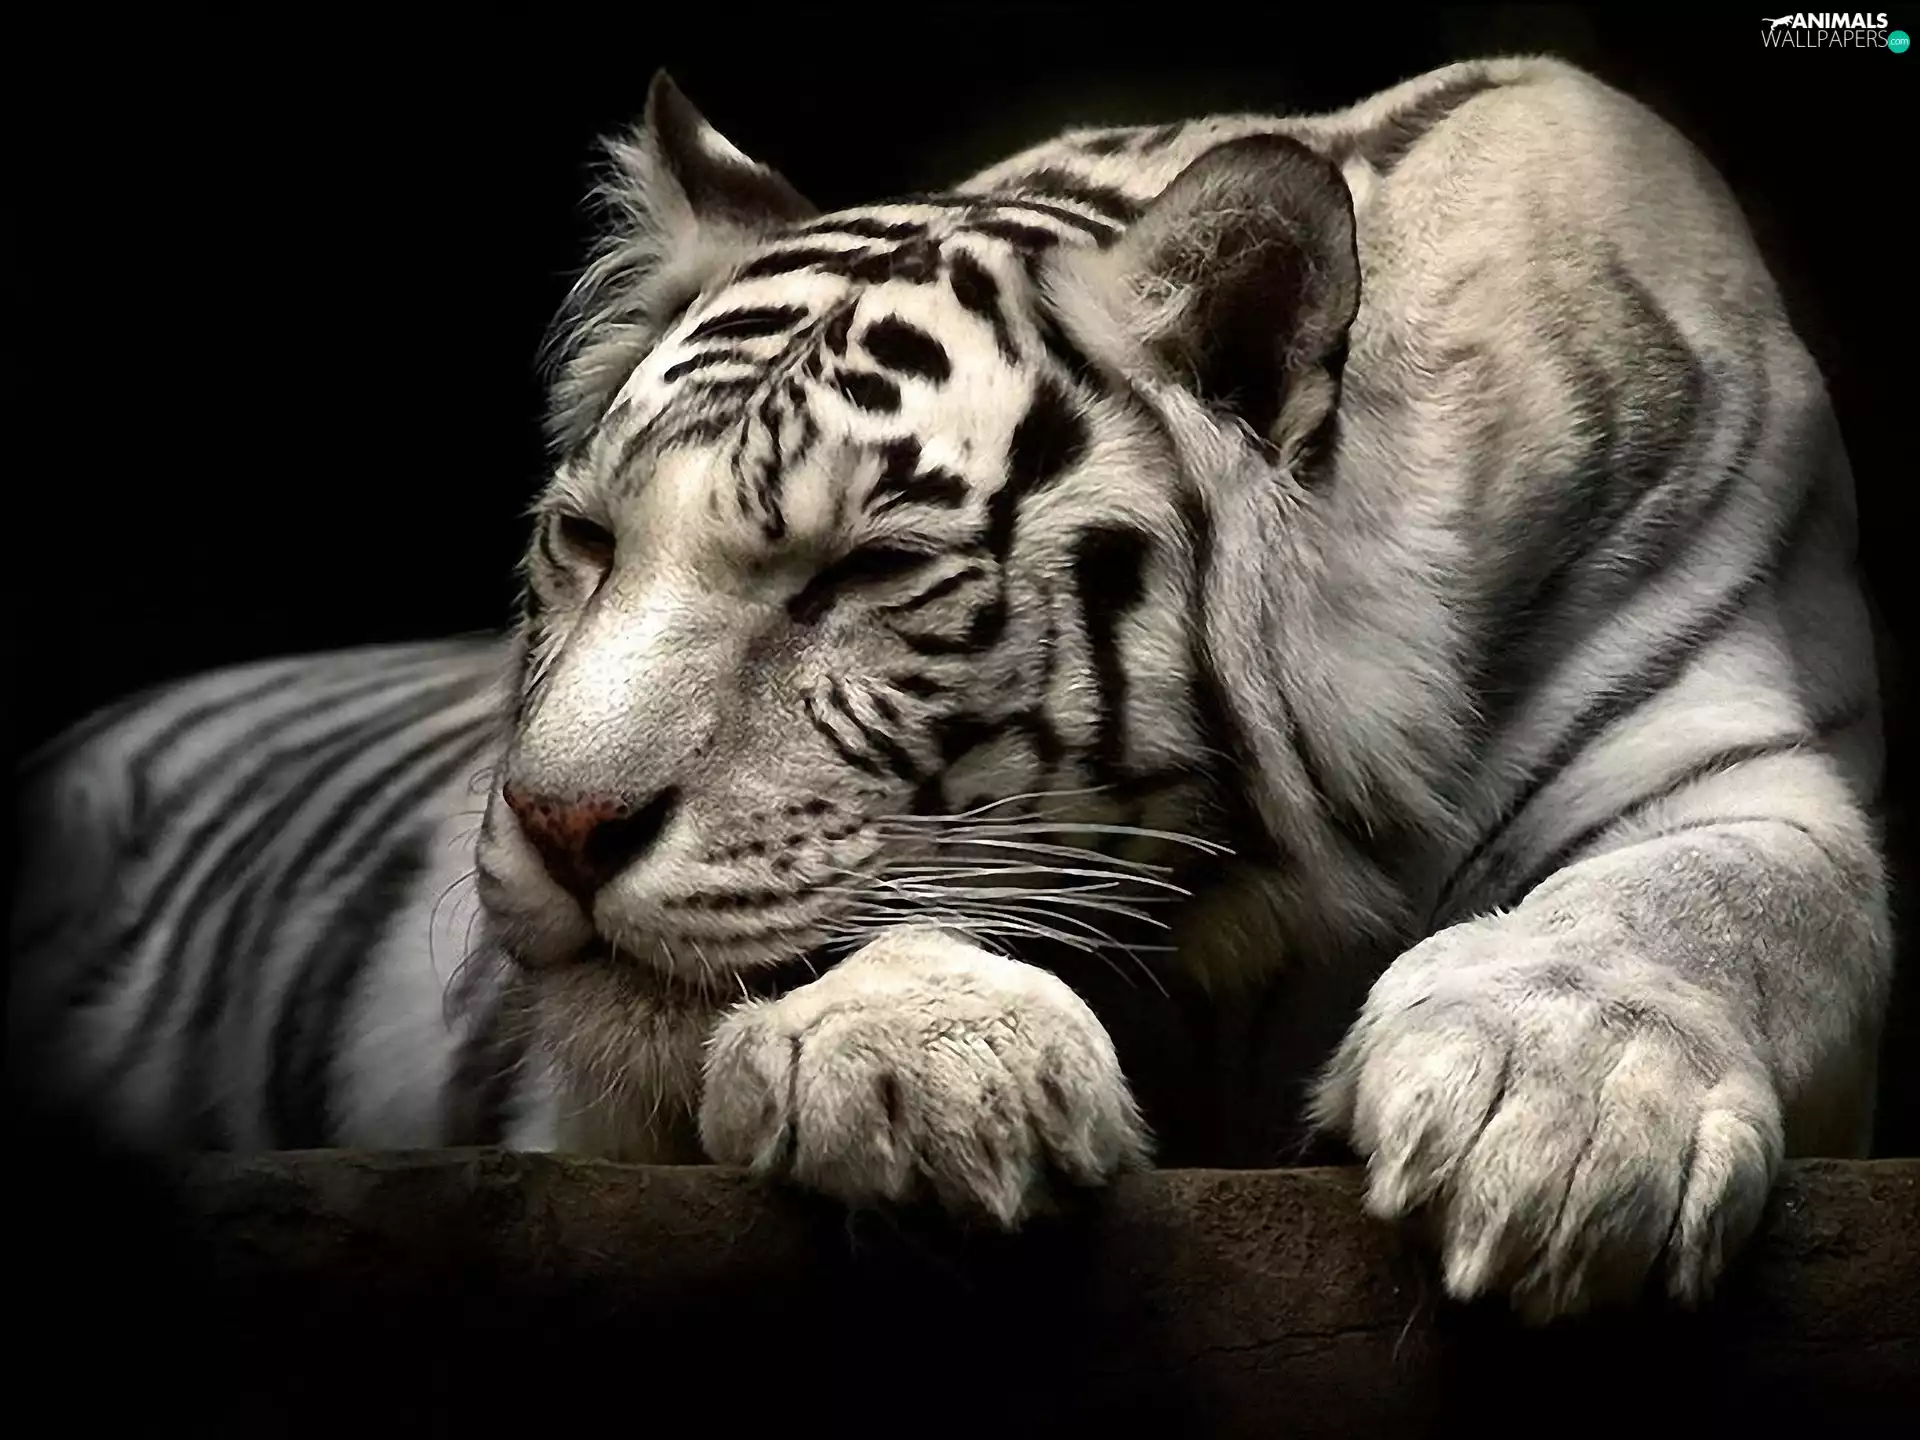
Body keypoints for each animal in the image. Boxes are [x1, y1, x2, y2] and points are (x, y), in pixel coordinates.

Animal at [7, 54, 1890, 1325]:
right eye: (587, 541)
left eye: (860, 574)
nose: (558, 822)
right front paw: (922, 1062)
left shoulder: (1740, 756)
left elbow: (1705, 903)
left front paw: (1559, 1113)